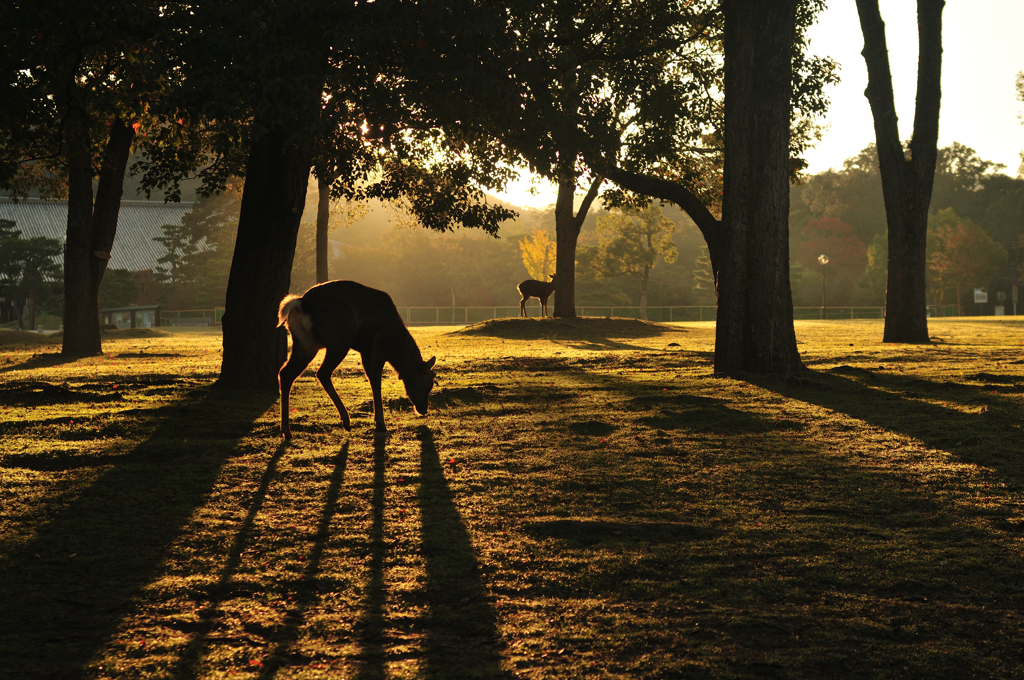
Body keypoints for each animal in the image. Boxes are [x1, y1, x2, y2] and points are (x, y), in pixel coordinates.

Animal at [278, 280, 438, 436]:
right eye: (426, 383)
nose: (424, 409)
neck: (394, 345)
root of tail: (301, 303)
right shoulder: (378, 348)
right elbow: (376, 381)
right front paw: (381, 424)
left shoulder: (365, 352)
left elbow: (371, 379)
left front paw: (377, 421)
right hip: (339, 341)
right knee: (322, 373)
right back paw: (346, 420)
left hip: (305, 343)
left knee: (285, 373)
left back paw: (286, 430)